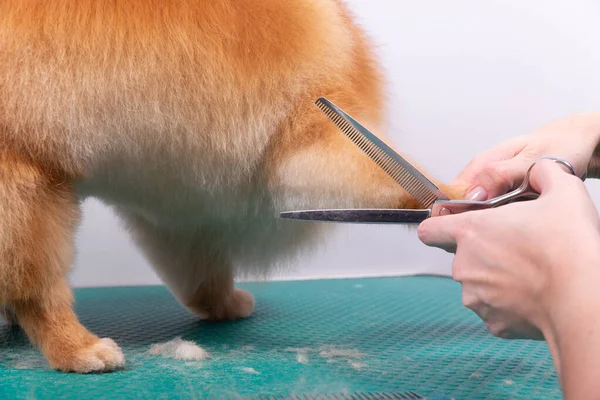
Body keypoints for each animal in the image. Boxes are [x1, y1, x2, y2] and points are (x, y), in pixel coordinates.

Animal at [0, 0, 466, 376]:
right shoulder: (300, 122)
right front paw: (458, 192)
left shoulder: (177, 200)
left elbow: (198, 268)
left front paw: (220, 304)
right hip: (24, 181)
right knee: (37, 285)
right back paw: (77, 348)